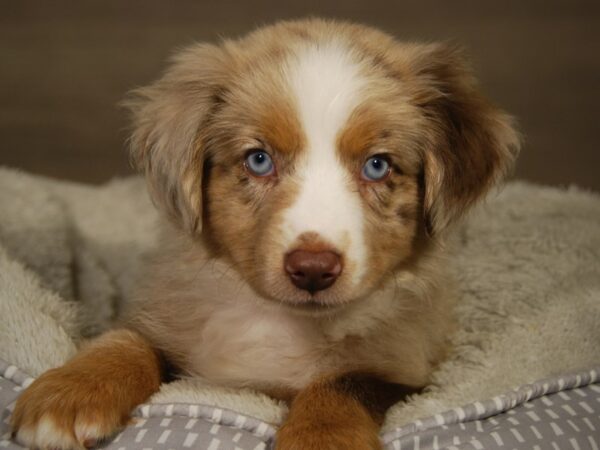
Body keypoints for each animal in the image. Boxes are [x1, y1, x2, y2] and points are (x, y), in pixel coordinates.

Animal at [10, 17, 516, 450]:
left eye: (377, 166)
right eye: (259, 160)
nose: (312, 269)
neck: (286, 324)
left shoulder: (409, 364)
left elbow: (343, 382)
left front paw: (321, 439)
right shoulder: (172, 319)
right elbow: (127, 340)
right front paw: (71, 392)